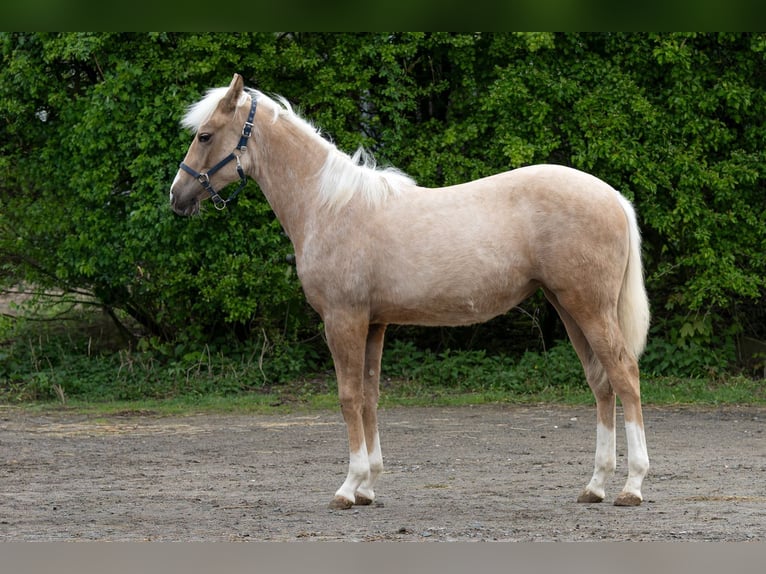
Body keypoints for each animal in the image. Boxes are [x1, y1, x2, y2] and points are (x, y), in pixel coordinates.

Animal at [170, 73, 651, 509]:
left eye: (205, 135)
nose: (177, 197)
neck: (331, 206)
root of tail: (612, 196)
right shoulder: (374, 323)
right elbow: (369, 397)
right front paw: (367, 486)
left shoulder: (343, 319)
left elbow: (348, 396)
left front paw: (348, 487)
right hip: (569, 308)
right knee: (601, 383)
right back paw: (595, 485)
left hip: (588, 307)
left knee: (625, 376)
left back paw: (631, 486)